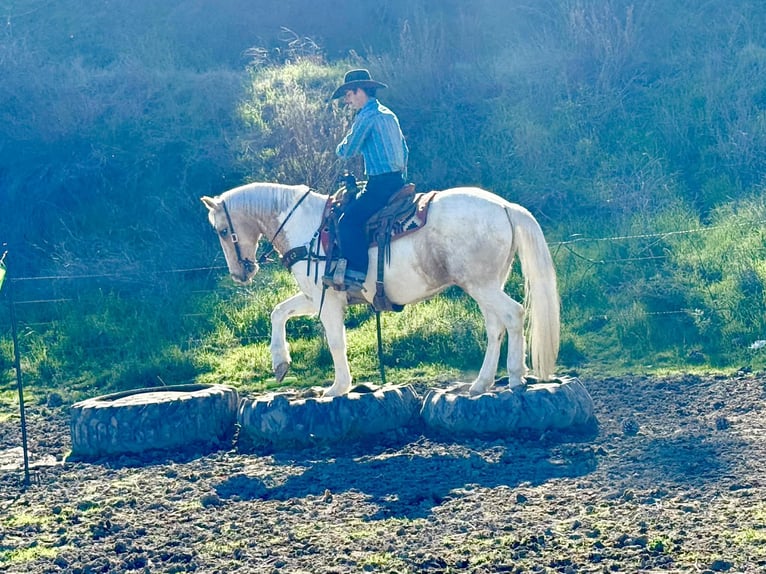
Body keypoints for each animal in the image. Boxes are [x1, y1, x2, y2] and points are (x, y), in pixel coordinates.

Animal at [201, 182, 560, 398]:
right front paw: (280, 363)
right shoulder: (313, 297)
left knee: (513, 315)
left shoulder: (328, 300)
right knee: (494, 326)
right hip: (485, 285)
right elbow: (279, 313)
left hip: (482, 285)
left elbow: (335, 341)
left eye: (222, 230)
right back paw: (482, 382)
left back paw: (515, 377)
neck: (306, 228)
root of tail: (504, 206)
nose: (241, 272)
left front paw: (338, 387)